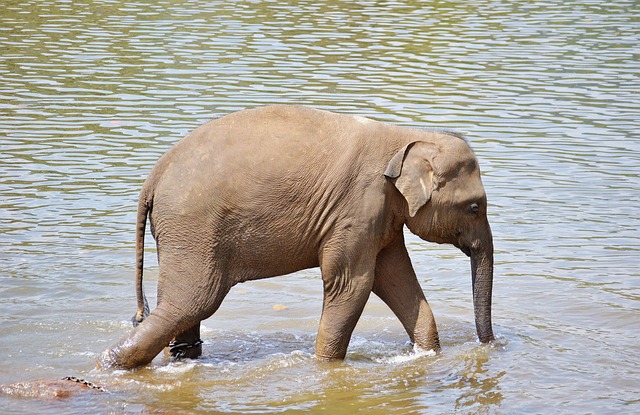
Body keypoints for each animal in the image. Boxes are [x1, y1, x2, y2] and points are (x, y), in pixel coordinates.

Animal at [96, 105, 496, 370]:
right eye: (475, 207)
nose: (490, 346)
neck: (406, 136)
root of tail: (155, 174)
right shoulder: (357, 207)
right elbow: (353, 283)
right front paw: (326, 368)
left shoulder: (382, 216)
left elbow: (394, 277)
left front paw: (426, 354)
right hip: (193, 227)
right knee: (193, 302)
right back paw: (109, 367)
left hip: (181, 233)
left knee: (180, 307)